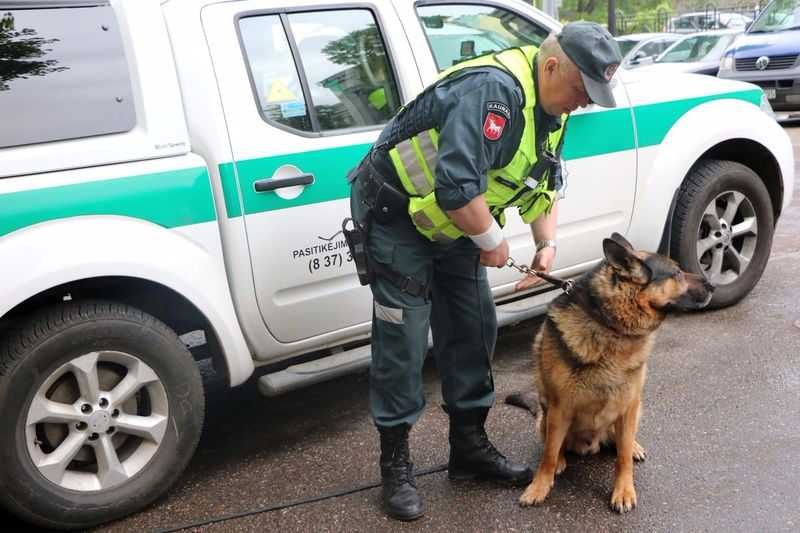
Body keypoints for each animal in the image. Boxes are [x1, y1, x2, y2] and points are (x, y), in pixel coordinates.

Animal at [520, 232, 712, 512]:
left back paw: (633, 446)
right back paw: (562, 461)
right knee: (554, 445)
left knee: (622, 440)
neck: (612, 327)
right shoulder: (560, 407)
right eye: (677, 273)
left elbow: (622, 459)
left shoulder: (628, 405)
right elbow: (548, 455)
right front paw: (539, 486)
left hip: (634, 410)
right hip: (547, 416)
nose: (713, 286)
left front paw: (623, 491)